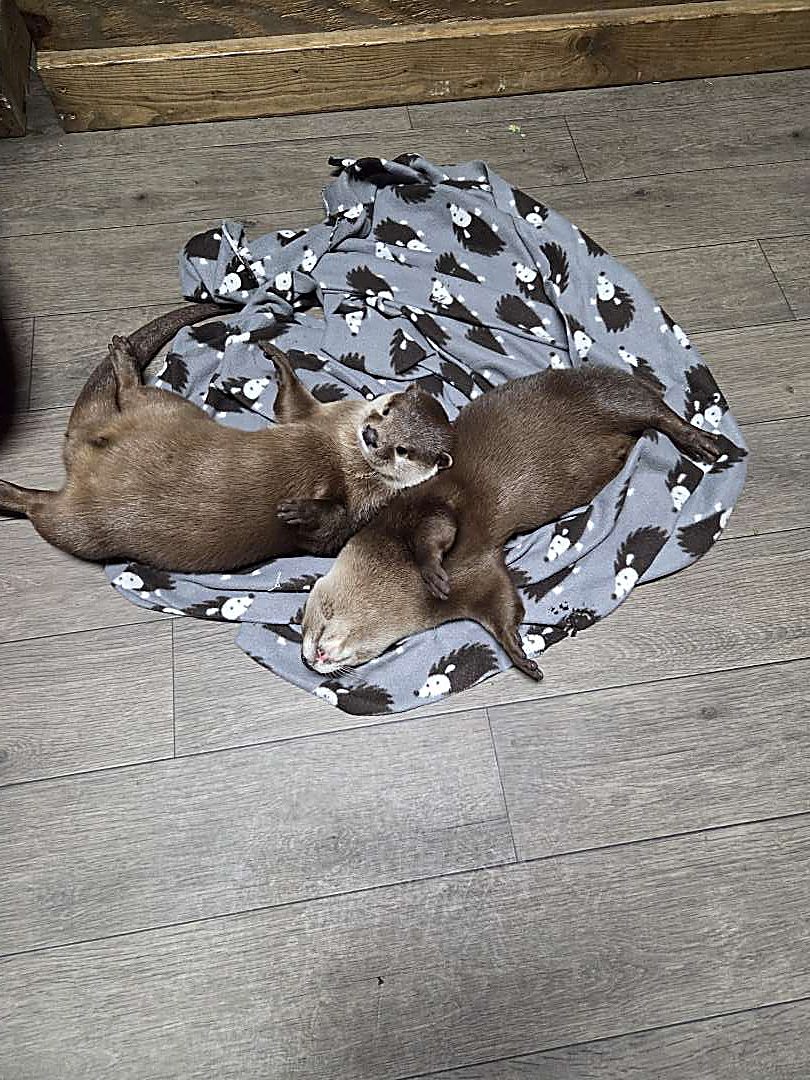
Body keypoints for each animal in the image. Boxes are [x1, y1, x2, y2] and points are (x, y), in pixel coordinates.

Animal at [0, 305, 453, 572]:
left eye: (403, 450)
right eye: (386, 411)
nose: (372, 435)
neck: (343, 449)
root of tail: (81, 448)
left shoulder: (368, 509)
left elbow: (329, 534)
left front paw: (300, 511)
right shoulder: (323, 416)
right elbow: (292, 406)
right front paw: (277, 356)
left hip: (84, 523)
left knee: (42, 507)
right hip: (162, 411)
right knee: (128, 394)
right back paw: (121, 355)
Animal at [297, 365, 724, 679]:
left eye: (318, 617)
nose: (311, 658)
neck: (400, 579)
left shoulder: (422, 506)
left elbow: (435, 529)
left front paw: (433, 572)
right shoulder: (481, 578)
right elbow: (502, 606)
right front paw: (520, 653)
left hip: (609, 395)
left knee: (654, 406)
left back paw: (702, 440)